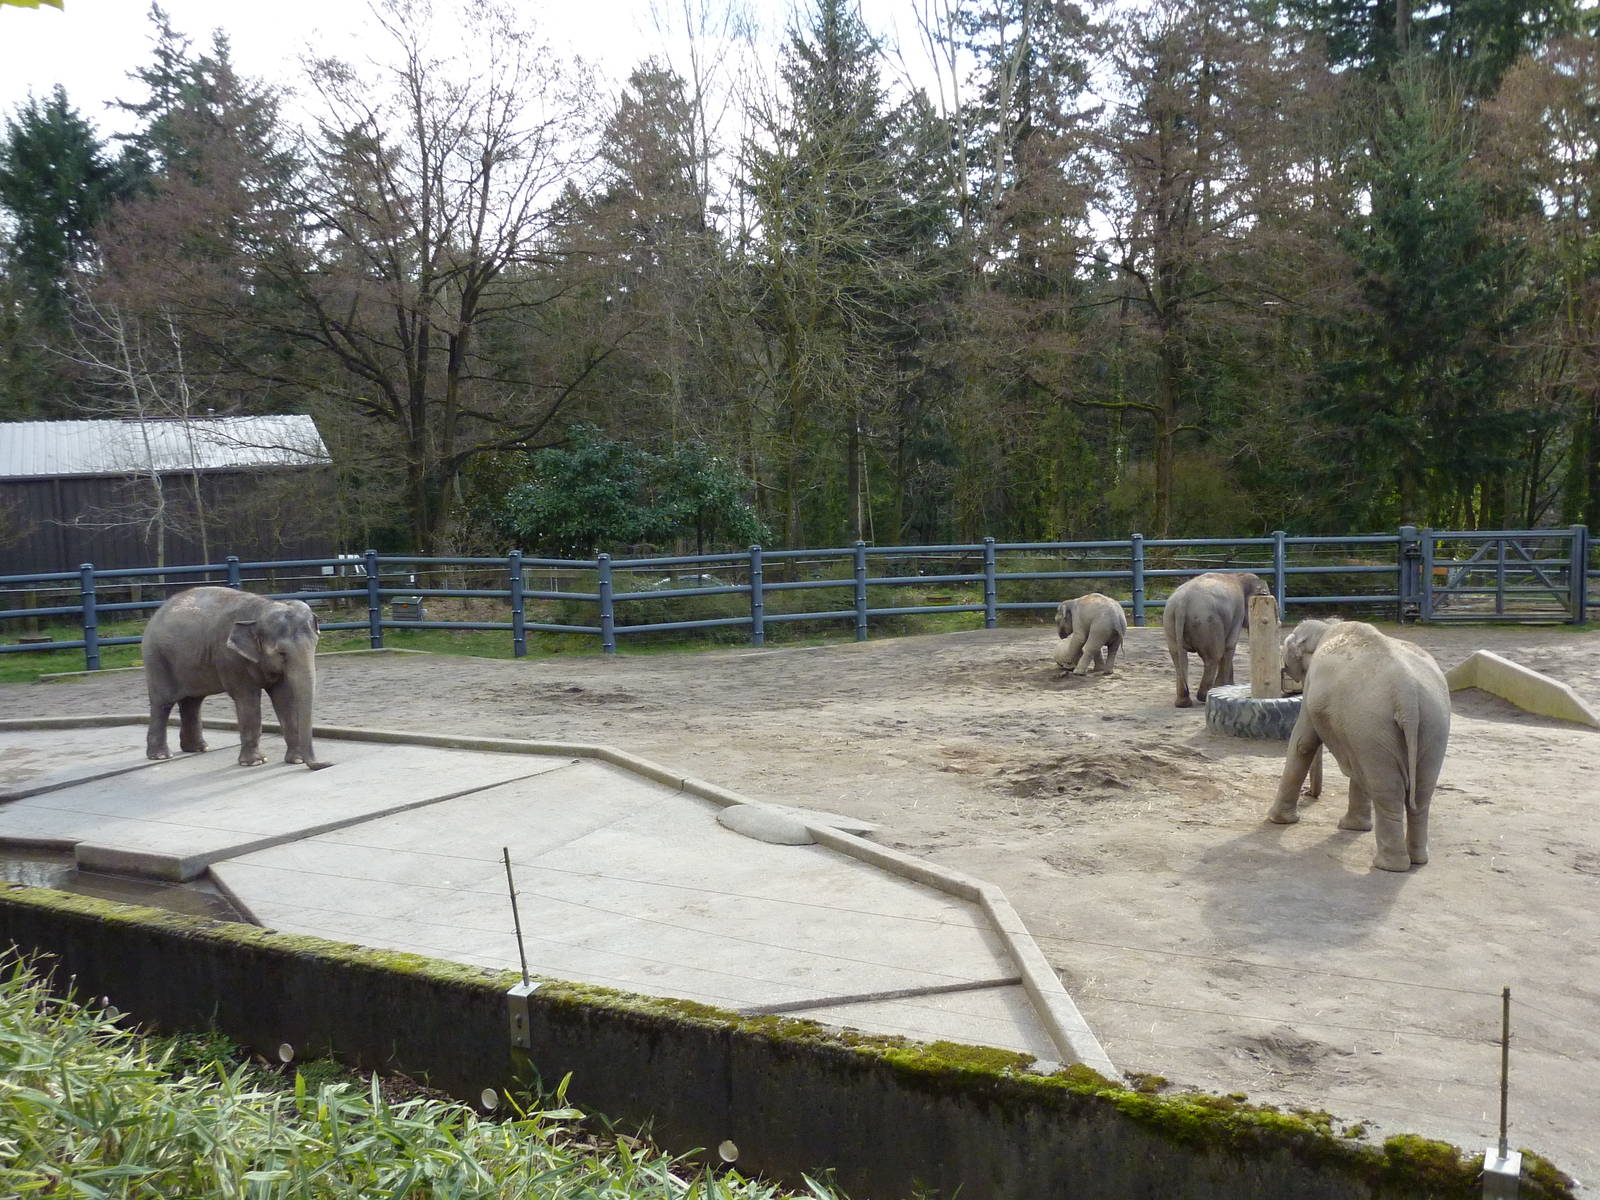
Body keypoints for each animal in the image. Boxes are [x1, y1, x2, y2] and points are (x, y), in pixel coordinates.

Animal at [143, 587, 325, 768]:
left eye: (315, 645)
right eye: (281, 653)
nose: (324, 763)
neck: (262, 609)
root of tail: (157, 612)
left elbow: (284, 698)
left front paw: (297, 760)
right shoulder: (231, 658)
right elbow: (248, 699)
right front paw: (255, 762)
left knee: (192, 702)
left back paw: (198, 748)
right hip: (157, 659)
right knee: (163, 703)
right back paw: (161, 756)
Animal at [1161, 571, 1271, 707]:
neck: (1239, 576)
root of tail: (1182, 602)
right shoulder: (1238, 612)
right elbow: (1229, 645)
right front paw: (1225, 687)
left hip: (1170, 620)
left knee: (1179, 658)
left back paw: (1183, 703)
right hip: (1207, 621)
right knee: (1212, 657)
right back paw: (1204, 696)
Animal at [1266, 620, 1450, 872]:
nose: (1311, 794)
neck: (1327, 625)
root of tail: (1407, 693)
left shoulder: (1313, 687)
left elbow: (1303, 743)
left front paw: (1276, 820)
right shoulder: (1354, 729)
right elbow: (1355, 768)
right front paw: (1352, 827)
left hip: (1376, 724)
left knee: (1387, 791)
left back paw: (1388, 865)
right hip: (1430, 724)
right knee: (1421, 793)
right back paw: (1417, 860)